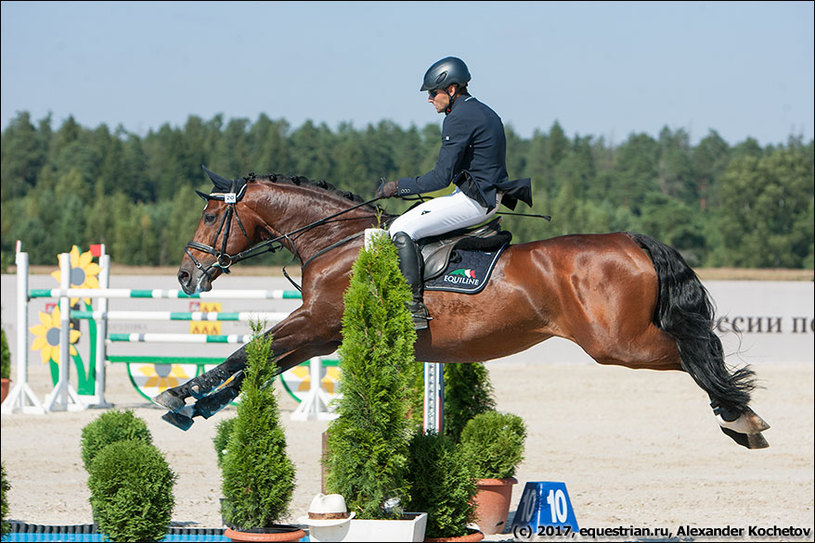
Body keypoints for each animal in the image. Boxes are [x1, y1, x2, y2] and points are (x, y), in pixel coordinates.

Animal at [153, 168, 772, 448]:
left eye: (211, 216)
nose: (185, 275)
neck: (338, 242)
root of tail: (631, 239)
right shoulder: (323, 334)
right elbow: (258, 362)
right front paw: (198, 407)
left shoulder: (314, 323)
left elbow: (246, 351)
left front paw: (177, 395)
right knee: (697, 354)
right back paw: (741, 417)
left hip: (618, 344)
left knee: (695, 356)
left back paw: (741, 415)